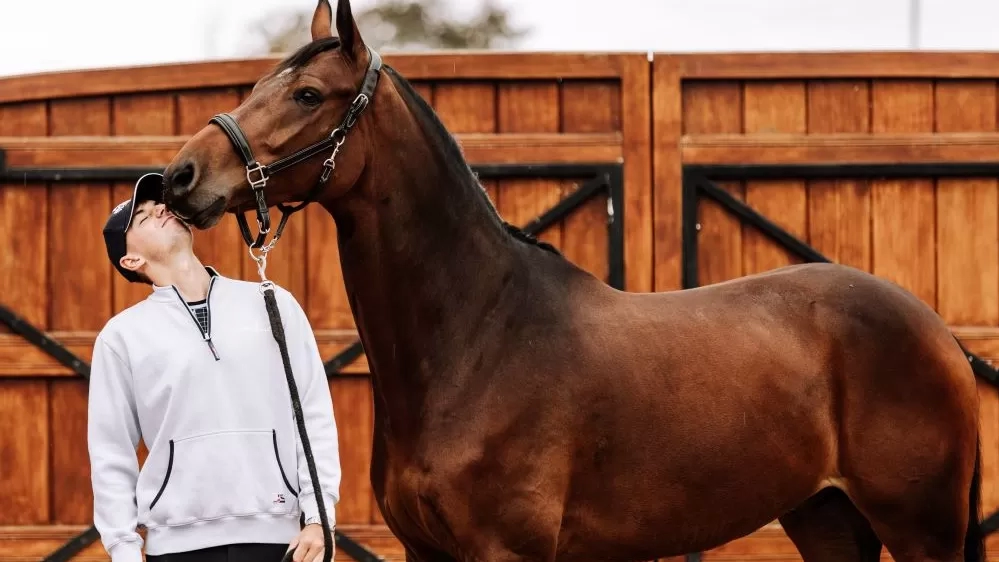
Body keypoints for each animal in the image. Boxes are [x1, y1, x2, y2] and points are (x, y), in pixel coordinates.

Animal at [162, 1, 984, 560]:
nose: (180, 177)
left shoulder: (507, 551)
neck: (476, 340)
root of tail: (936, 331)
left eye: (307, 95)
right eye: (260, 84)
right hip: (827, 518)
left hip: (921, 530)